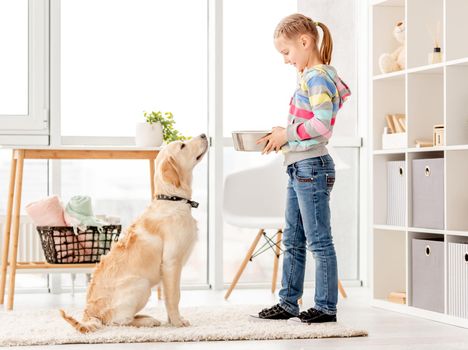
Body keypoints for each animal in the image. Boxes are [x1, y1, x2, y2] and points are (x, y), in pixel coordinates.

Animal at [59, 133, 208, 332]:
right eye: (182, 146)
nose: (204, 135)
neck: (172, 199)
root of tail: (89, 312)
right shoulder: (171, 262)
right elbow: (175, 296)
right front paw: (178, 323)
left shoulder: (167, 270)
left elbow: (168, 297)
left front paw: (172, 321)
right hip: (141, 284)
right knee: (119, 322)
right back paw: (147, 321)